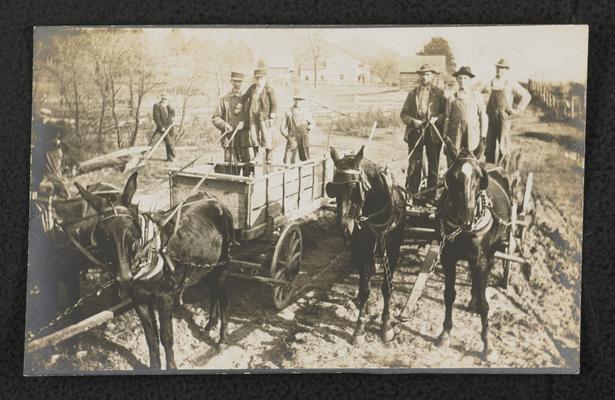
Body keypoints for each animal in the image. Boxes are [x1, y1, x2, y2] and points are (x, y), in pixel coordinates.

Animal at [324, 147, 406, 344]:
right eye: (333, 189)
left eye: (354, 189)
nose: (345, 228)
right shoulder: (361, 251)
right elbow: (365, 289)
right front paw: (359, 328)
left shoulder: (393, 251)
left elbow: (387, 288)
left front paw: (386, 324)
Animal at [436, 148, 512, 360]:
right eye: (453, 177)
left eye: (479, 177)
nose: (466, 220)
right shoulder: (447, 258)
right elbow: (449, 294)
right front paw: (445, 333)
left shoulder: (480, 260)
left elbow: (485, 305)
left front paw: (488, 345)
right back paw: (472, 299)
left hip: (492, 251)